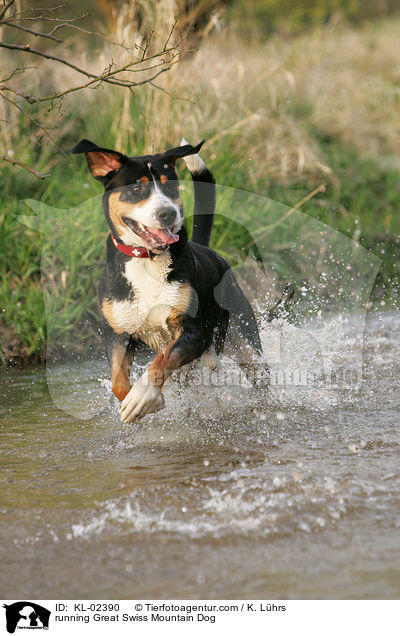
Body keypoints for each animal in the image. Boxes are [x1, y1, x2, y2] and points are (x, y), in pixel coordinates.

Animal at [72, 138, 266, 422]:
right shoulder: (118, 334)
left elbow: (163, 359)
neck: (147, 259)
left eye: (170, 185)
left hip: (245, 340)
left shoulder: (193, 330)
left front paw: (143, 397)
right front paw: (143, 400)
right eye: (137, 187)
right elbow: (118, 381)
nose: (167, 213)